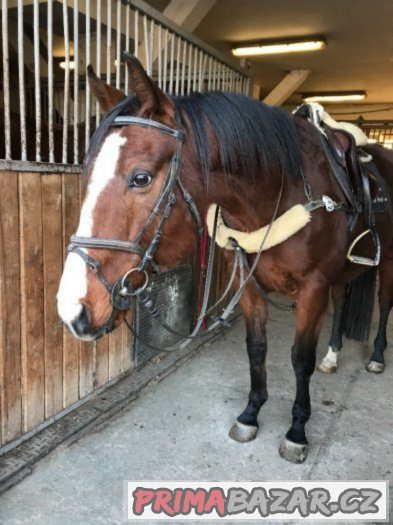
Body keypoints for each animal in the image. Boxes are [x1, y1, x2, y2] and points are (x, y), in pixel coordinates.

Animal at [56, 54, 392, 462]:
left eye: (140, 178)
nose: (73, 309)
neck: (285, 192)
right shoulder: (248, 281)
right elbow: (256, 348)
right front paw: (250, 413)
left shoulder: (313, 289)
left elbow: (300, 358)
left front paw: (297, 430)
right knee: (342, 304)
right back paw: (333, 356)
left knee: (384, 304)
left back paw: (376, 357)